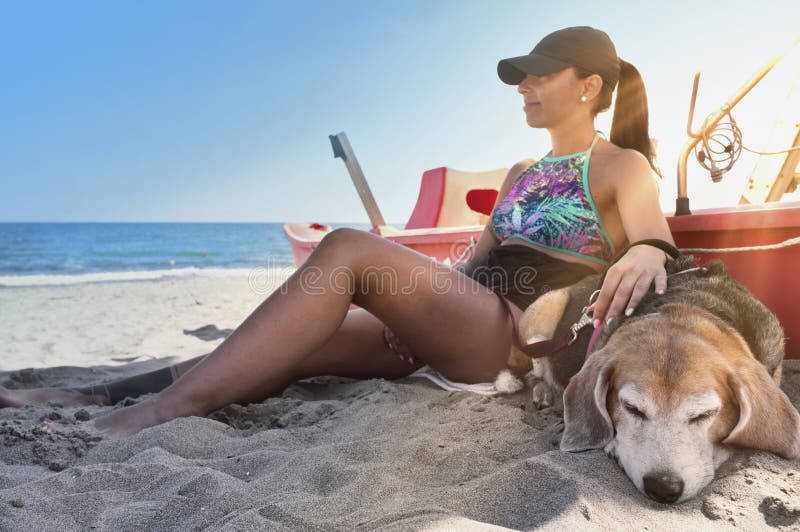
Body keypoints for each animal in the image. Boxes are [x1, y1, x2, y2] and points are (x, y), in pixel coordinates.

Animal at [496, 256, 796, 502]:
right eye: (631, 408)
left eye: (705, 415)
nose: (663, 487)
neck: (688, 306)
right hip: (542, 314)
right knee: (536, 365)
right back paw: (544, 390)